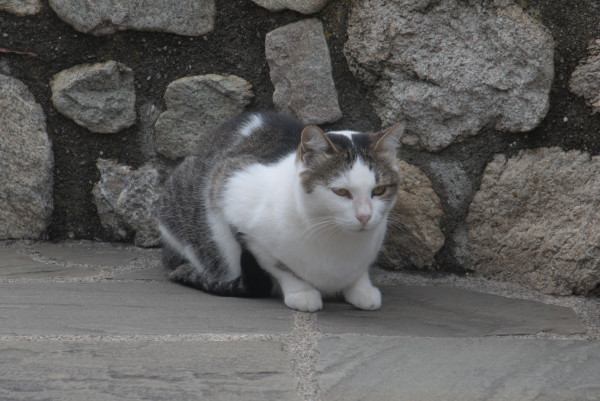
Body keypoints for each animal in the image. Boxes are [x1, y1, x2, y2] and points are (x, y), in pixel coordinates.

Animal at [158, 111, 404, 310]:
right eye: (341, 192)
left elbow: (360, 270)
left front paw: (362, 288)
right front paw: (302, 292)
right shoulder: (228, 192)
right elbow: (279, 266)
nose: (365, 216)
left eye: (379, 190)